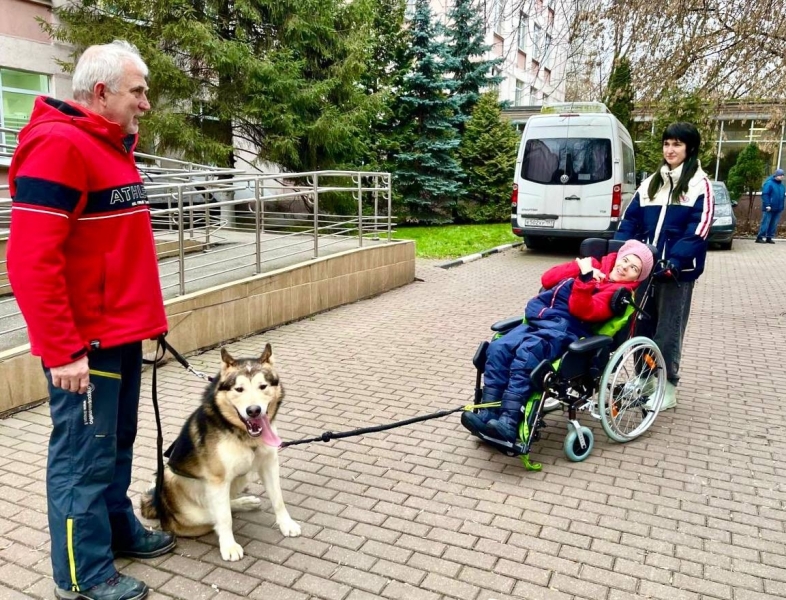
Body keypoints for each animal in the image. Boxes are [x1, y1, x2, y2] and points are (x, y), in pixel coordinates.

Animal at [140, 344, 301, 561]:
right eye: (239, 389)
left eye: (263, 386)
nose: (253, 410)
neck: (244, 436)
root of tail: (158, 507)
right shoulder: (217, 480)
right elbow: (224, 518)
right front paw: (229, 546)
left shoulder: (269, 464)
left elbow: (278, 499)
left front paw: (286, 524)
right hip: (168, 476)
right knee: (212, 514)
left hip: (239, 477)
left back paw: (245, 502)